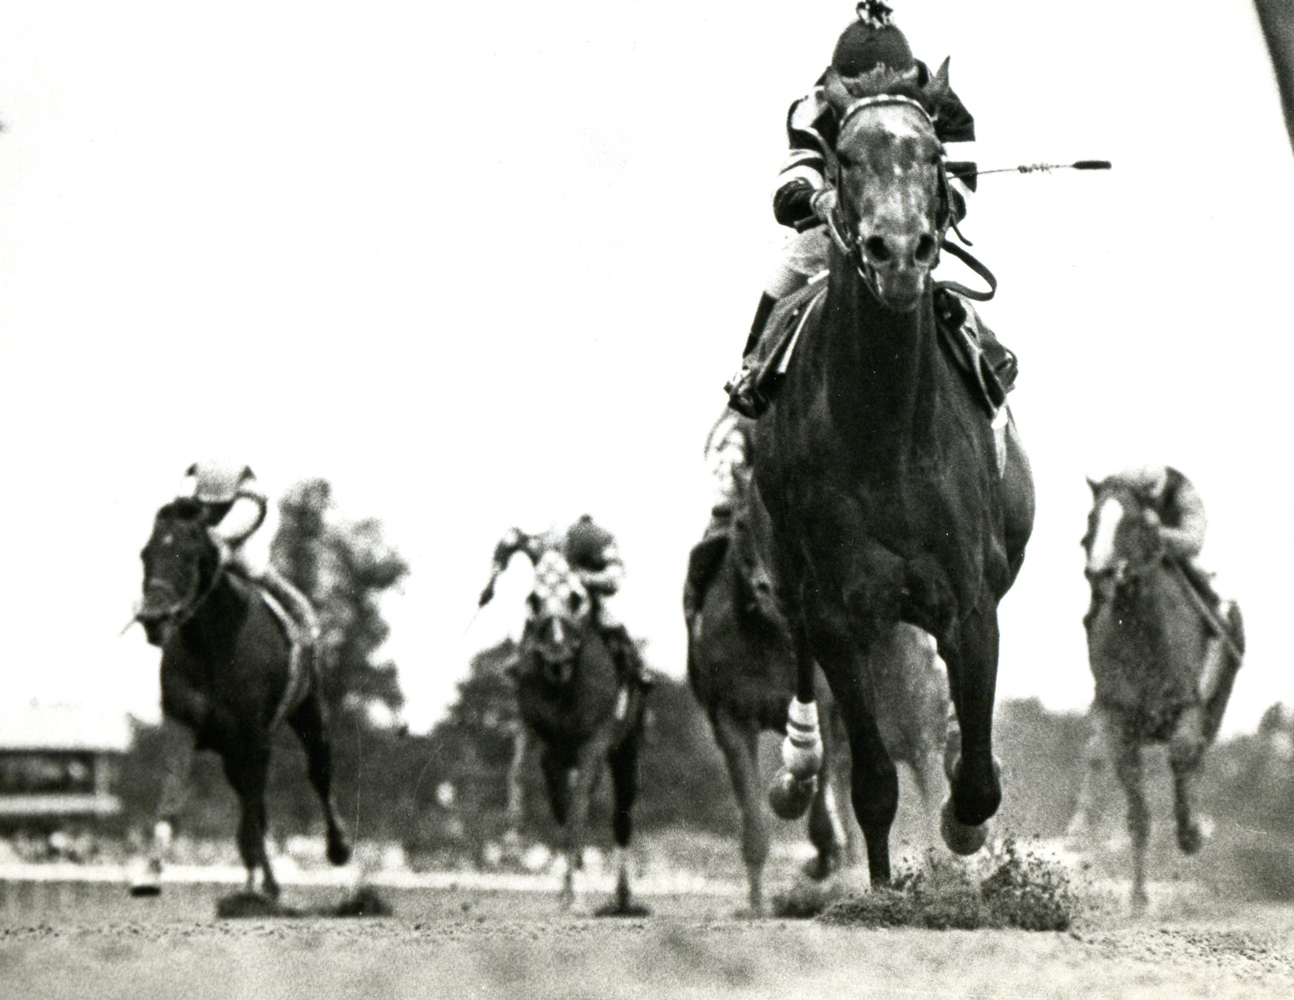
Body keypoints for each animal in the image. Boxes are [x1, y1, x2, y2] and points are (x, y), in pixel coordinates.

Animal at [133, 499, 351, 895]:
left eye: (189, 556)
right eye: (146, 554)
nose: (152, 617)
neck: (215, 647)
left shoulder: (254, 735)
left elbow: (254, 808)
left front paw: (268, 881)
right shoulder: (182, 722)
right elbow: (173, 787)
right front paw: (150, 870)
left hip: (309, 709)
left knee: (318, 772)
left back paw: (336, 847)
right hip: (232, 753)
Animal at [504, 538, 647, 910]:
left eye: (575, 597)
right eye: (534, 598)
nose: (556, 653)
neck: (564, 686)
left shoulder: (595, 742)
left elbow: (580, 802)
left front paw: (575, 889)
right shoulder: (545, 743)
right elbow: (558, 803)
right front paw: (565, 886)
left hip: (627, 747)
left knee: (621, 813)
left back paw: (623, 897)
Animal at [688, 408, 952, 910]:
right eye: (741, 525)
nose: (774, 590)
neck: (765, 635)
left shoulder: (830, 708)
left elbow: (819, 786)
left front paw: (825, 858)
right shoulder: (728, 718)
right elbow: (757, 819)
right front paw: (758, 902)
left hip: (912, 717)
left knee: (927, 772)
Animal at [755, 62, 1035, 884]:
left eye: (934, 156)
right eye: (845, 159)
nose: (899, 252)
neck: (883, 434)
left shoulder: (970, 605)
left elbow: (974, 782)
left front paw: (963, 828)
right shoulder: (840, 614)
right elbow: (874, 784)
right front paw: (881, 892)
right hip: (789, 575)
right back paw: (796, 767)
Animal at [1071, 473, 1242, 905]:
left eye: (1134, 523)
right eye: (1092, 518)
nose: (1101, 573)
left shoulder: (1188, 705)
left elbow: (1183, 755)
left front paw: (1192, 832)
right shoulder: (1118, 717)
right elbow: (1137, 814)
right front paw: (1137, 899)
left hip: (1212, 712)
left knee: (1194, 757)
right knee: (1099, 758)